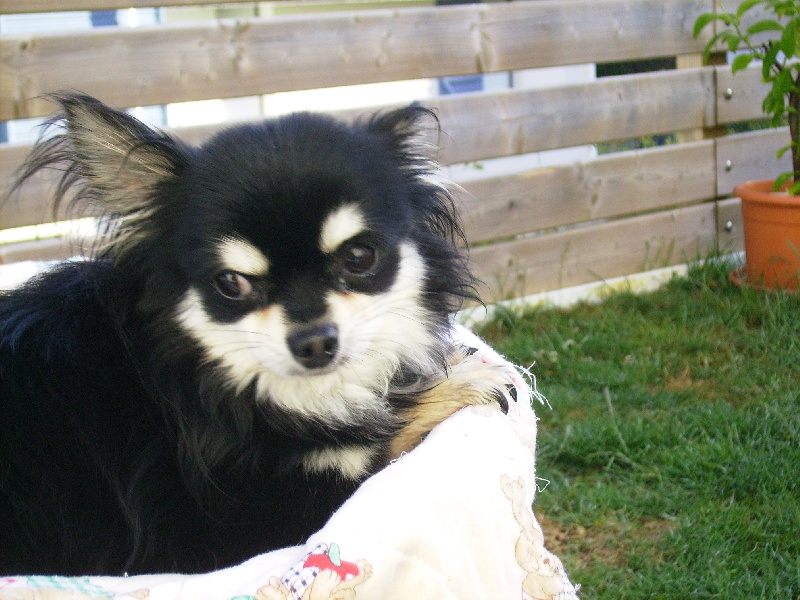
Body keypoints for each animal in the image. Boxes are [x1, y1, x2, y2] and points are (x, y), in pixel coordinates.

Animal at [0, 94, 511, 576]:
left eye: (360, 256)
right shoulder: (237, 529)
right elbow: (372, 450)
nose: (313, 341)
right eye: (231, 283)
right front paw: (454, 387)